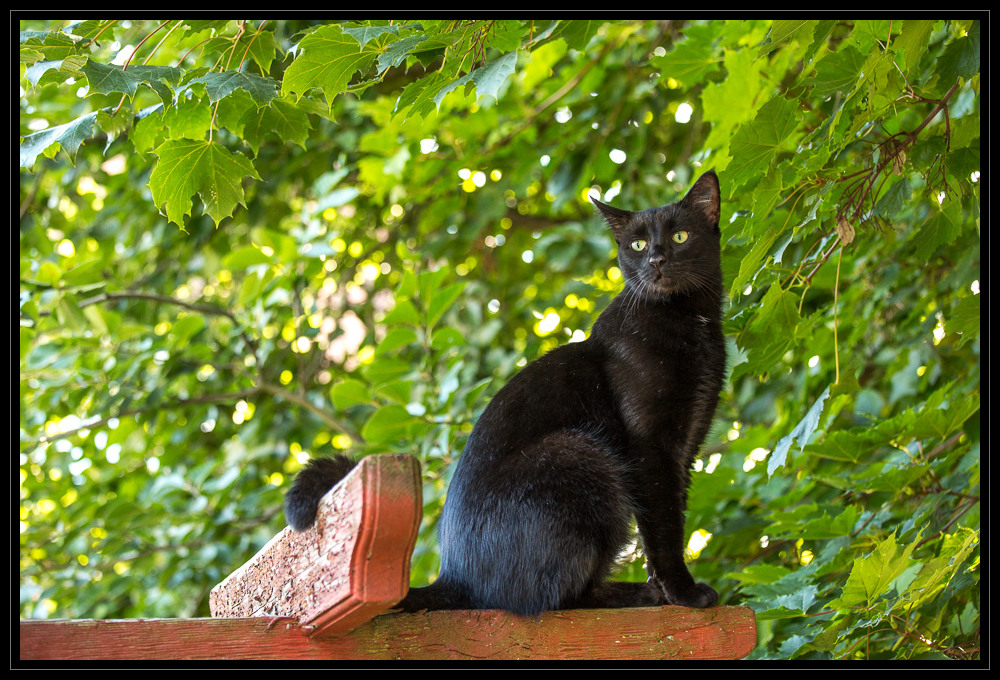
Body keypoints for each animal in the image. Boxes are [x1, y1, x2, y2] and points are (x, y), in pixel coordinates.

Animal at [286, 171, 724, 616]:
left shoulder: (685, 446)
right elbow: (664, 528)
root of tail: (455, 577)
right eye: (637, 245)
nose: (656, 259)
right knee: (555, 598)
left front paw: (670, 589)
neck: (690, 318)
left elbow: (669, 518)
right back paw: (634, 595)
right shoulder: (650, 447)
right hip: (581, 453)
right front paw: (683, 594)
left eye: (681, 236)